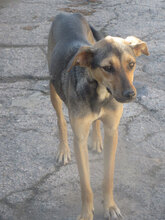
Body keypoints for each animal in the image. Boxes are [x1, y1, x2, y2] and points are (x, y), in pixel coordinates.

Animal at [47, 12, 149, 220]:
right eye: (107, 68)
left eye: (131, 64)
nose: (130, 94)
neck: (100, 93)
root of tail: (67, 13)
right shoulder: (79, 138)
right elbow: (86, 186)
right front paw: (86, 213)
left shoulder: (112, 131)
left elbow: (108, 177)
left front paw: (110, 206)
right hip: (53, 88)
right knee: (60, 120)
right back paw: (63, 150)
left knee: (95, 122)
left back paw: (96, 140)